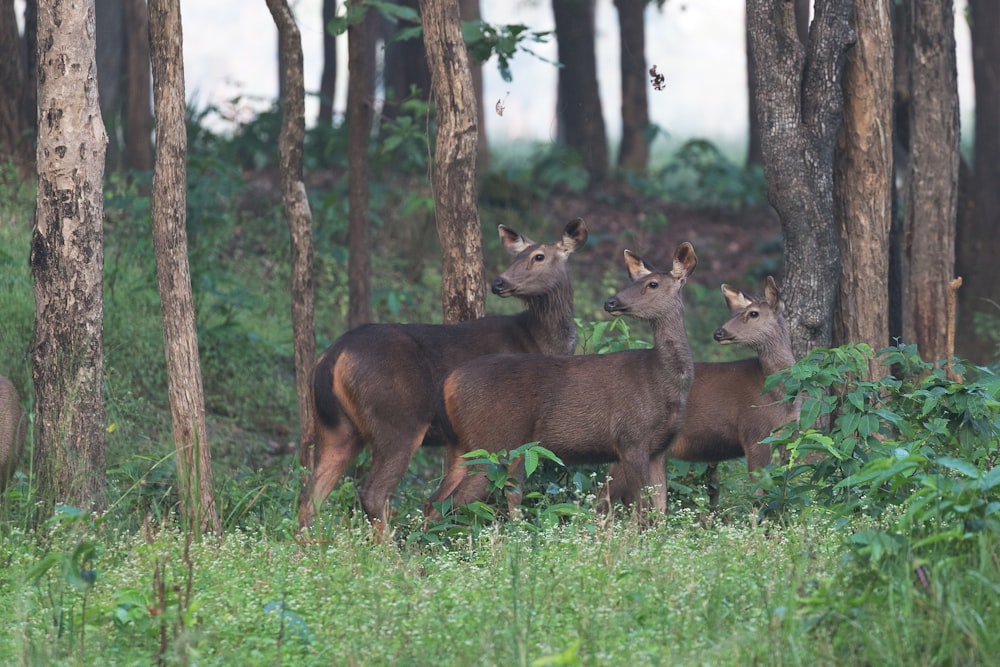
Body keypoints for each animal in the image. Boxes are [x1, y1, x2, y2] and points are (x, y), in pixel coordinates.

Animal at [300, 219, 588, 532]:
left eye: (539, 256)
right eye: (516, 256)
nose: (499, 283)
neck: (539, 341)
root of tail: (333, 356)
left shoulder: (460, 440)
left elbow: (442, 499)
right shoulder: (516, 426)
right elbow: (513, 489)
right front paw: (518, 532)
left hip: (336, 428)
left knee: (310, 496)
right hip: (398, 420)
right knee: (372, 492)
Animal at [422, 243, 696, 520]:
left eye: (652, 283)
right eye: (636, 280)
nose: (611, 301)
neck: (662, 381)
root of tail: (449, 382)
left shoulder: (659, 449)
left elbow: (659, 511)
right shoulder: (631, 439)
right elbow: (642, 511)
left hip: (464, 445)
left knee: (433, 501)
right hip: (493, 442)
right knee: (451, 502)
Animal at [604, 274, 800, 516]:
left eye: (753, 313)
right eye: (735, 313)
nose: (719, 332)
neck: (777, 393)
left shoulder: (788, 435)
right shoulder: (755, 431)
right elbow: (757, 496)